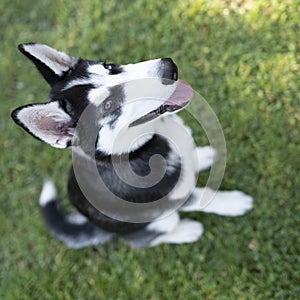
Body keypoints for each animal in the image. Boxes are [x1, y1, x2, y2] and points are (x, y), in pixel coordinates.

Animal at [11, 43, 253, 247]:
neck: (142, 147)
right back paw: (186, 231)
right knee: (144, 241)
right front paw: (232, 203)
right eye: (108, 105)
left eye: (109, 66)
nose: (169, 67)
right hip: (160, 221)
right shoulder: (169, 202)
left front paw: (201, 156)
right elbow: (203, 198)